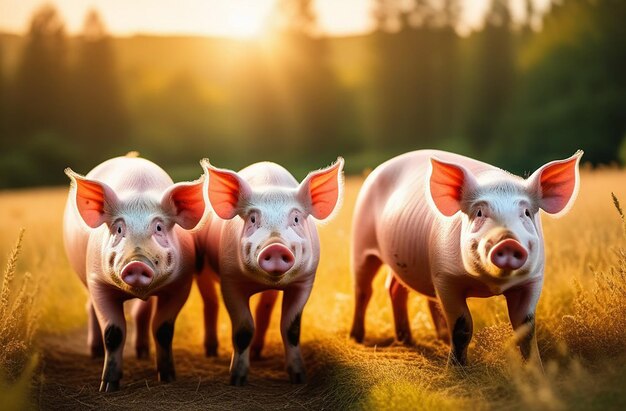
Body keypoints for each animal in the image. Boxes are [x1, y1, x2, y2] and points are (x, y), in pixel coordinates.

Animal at [61, 155, 202, 392]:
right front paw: (108, 387)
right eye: (119, 229)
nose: (136, 263)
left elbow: (163, 330)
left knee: (140, 313)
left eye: (159, 228)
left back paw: (142, 353)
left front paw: (168, 378)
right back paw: (94, 352)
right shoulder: (98, 282)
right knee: (90, 307)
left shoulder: (181, 285)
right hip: (85, 276)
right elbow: (114, 333)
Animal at [194, 158, 344, 386]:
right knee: (210, 302)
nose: (275, 246)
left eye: (296, 219)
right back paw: (211, 352)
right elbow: (243, 330)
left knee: (264, 307)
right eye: (252, 219)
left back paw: (257, 353)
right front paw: (237, 380)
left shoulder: (304, 282)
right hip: (201, 265)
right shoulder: (230, 281)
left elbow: (291, 328)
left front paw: (299, 378)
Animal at [346, 150, 580, 368]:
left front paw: (536, 369)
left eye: (526, 213)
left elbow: (526, 329)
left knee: (396, 289)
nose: (507, 241)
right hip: (361, 241)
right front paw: (457, 370)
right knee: (364, 289)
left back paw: (409, 340)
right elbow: (462, 326)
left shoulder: (533, 280)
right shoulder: (445, 278)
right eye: (479, 213)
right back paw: (357, 337)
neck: (491, 285)